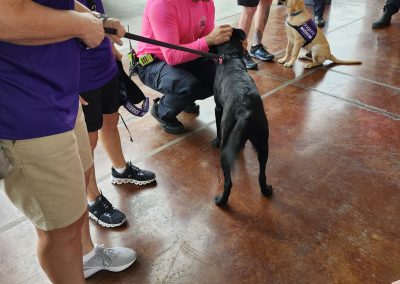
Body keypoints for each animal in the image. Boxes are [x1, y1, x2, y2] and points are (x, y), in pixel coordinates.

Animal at [212, 29, 272, 206]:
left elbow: (217, 129)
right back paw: (266, 190)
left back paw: (221, 201)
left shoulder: (218, 108)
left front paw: (215, 141)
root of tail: (247, 111)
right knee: (261, 175)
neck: (230, 56)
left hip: (225, 149)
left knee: (228, 182)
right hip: (263, 144)